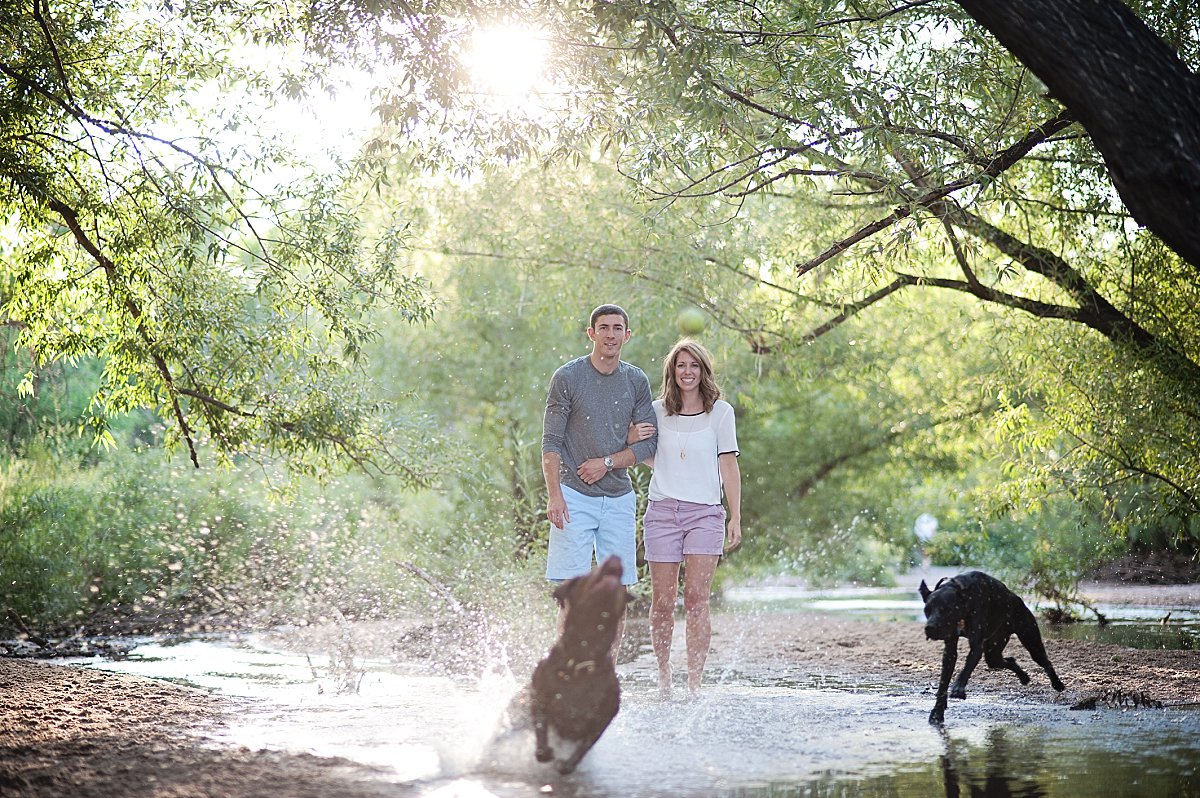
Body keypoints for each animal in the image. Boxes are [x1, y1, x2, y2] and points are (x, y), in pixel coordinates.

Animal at [919, 570, 1065, 725]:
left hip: (1031, 641)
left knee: (1045, 661)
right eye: (927, 610)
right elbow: (943, 684)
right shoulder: (950, 650)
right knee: (1006, 660)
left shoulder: (976, 646)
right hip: (993, 651)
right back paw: (1023, 677)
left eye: (946, 609)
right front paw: (937, 712)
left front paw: (958, 688)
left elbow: (966, 669)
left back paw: (1057, 683)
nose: (930, 628)